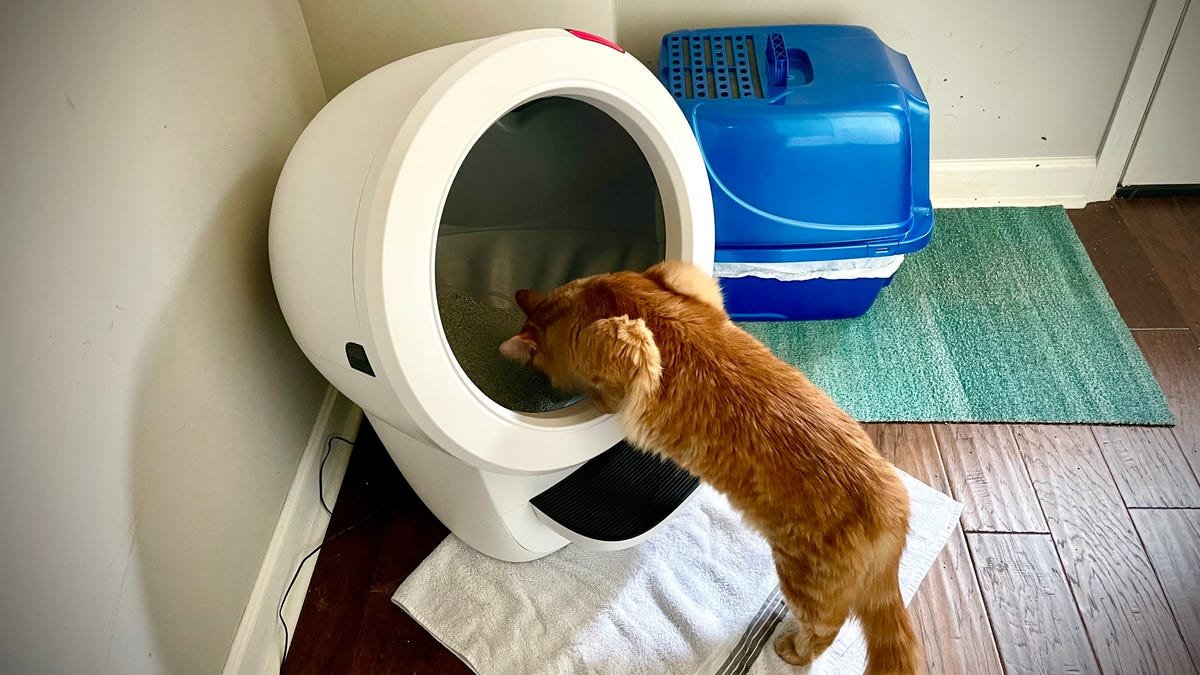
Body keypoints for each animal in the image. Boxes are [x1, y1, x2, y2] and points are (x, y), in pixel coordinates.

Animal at [501, 260, 921, 667]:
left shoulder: (627, 349)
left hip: (805, 582)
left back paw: (793, 650)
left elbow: (615, 371)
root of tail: (895, 513)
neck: (596, 300)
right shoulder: (680, 276)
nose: (544, 385)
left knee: (826, 629)